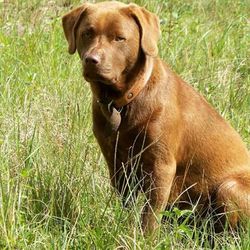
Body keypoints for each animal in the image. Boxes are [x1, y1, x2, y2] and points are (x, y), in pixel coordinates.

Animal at [61, 0, 249, 233]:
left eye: (119, 38)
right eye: (87, 33)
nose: (91, 60)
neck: (123, 103)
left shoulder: (161, 166)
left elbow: (150, 215)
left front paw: (144, 238)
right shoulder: (116, 163)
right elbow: (127, 206)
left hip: (229, 187)